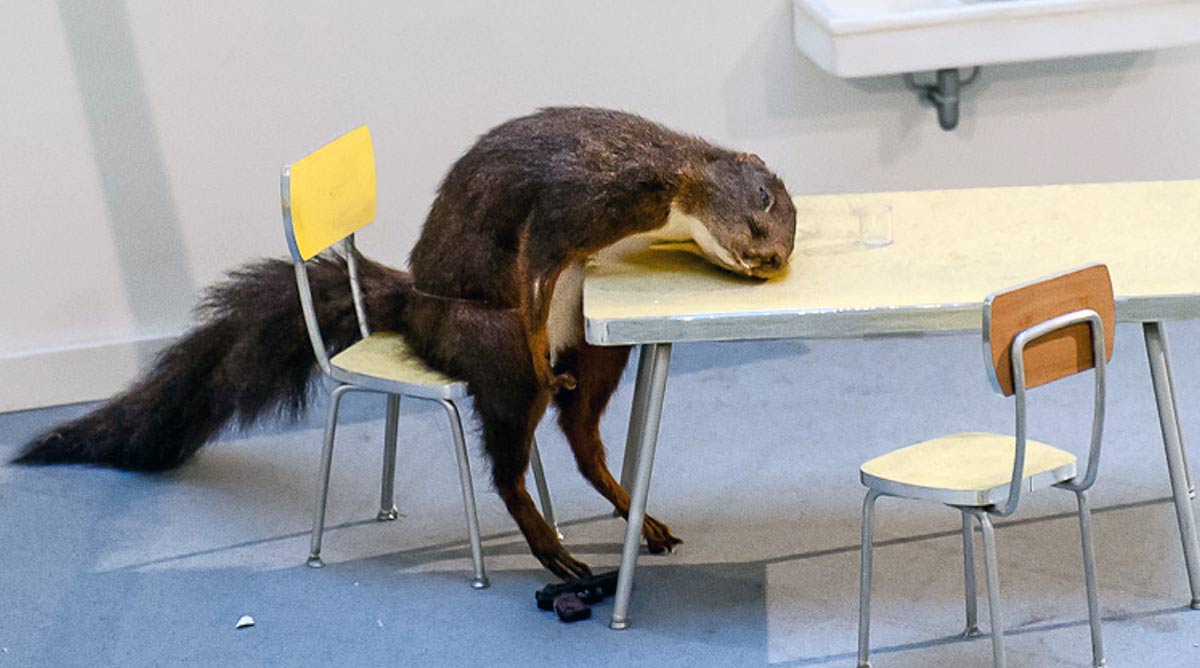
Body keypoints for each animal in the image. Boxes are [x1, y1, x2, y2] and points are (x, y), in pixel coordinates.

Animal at [14, 107, 797, 581]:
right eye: (762, 203)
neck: (662, 189)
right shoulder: (577, 202)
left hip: (597, 349)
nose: (770, 260)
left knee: (579, 440)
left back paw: (643, 521)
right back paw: (558, 556)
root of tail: (410, 303)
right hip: (486, 344)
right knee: (510, 459)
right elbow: (533, 270)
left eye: (790, 235)